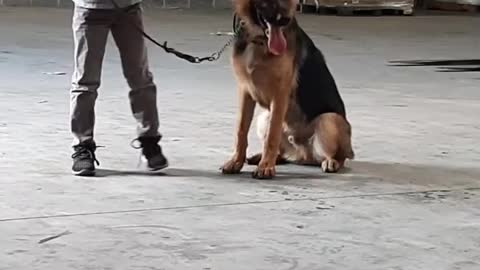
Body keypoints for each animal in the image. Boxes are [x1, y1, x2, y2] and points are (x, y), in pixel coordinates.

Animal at [221, 0, 352, 179]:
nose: (285, 20)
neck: (258, 40)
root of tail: (302, 156)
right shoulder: (245, 91)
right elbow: (241, 130)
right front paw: (236, 161)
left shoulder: (280, 94)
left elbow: (272, 136)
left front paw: (266, 167)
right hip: (264, 117)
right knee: (281, 152)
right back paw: (266, 157)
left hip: (328, 120)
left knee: (339, 156)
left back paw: (331, 162)